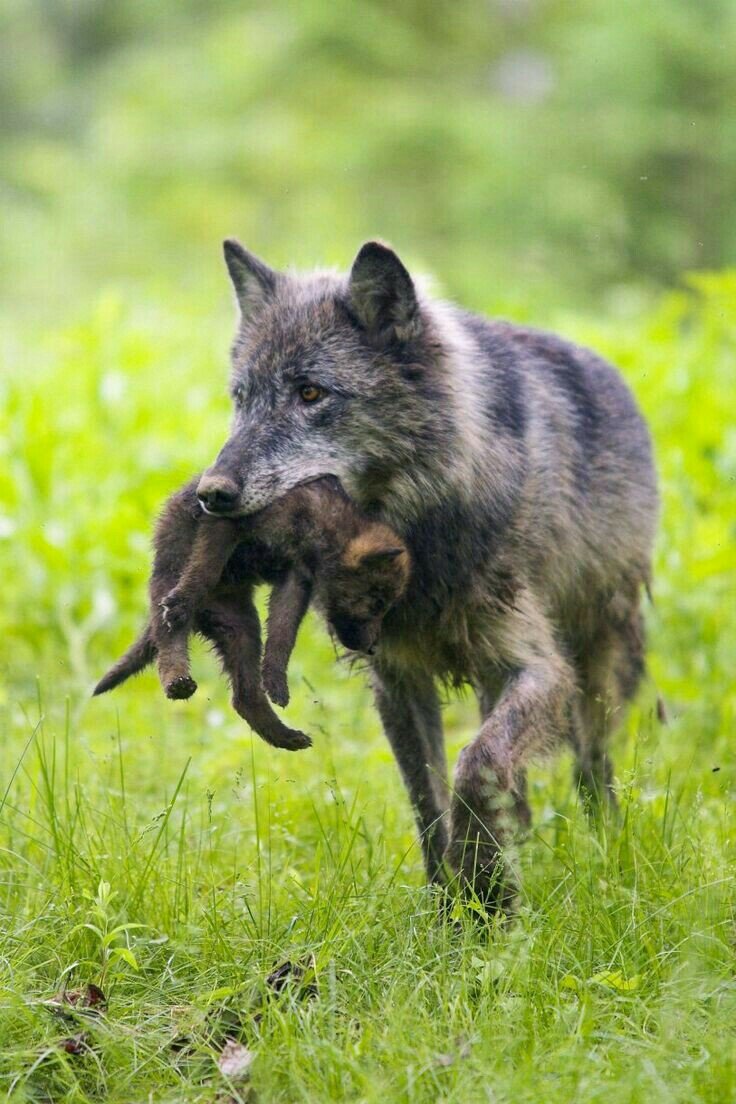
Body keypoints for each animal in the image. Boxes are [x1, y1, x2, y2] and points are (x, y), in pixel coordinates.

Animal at [94, 476, 410, 751]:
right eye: (377, 602)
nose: (373, 649)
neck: (318, 522)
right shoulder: (226, 523)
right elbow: (205, 569)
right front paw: (184, 598)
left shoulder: (295, 579)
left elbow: (282, 635)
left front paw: (276, 681)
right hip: (168, 576)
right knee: (169, 637)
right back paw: (177, 678)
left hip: (240, 628)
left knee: (244, 698)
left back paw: (285, 737)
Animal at [189, 237, 658, 907]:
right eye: (240, 398)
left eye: (311, 394)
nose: (211, 494)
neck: (417, 535)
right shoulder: (397, 679)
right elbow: (428, 799)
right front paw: (448, 907)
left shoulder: (539, 665)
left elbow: (476, 767)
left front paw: (487, 891)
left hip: (598, 658)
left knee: (592, 764)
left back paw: (605, 850)